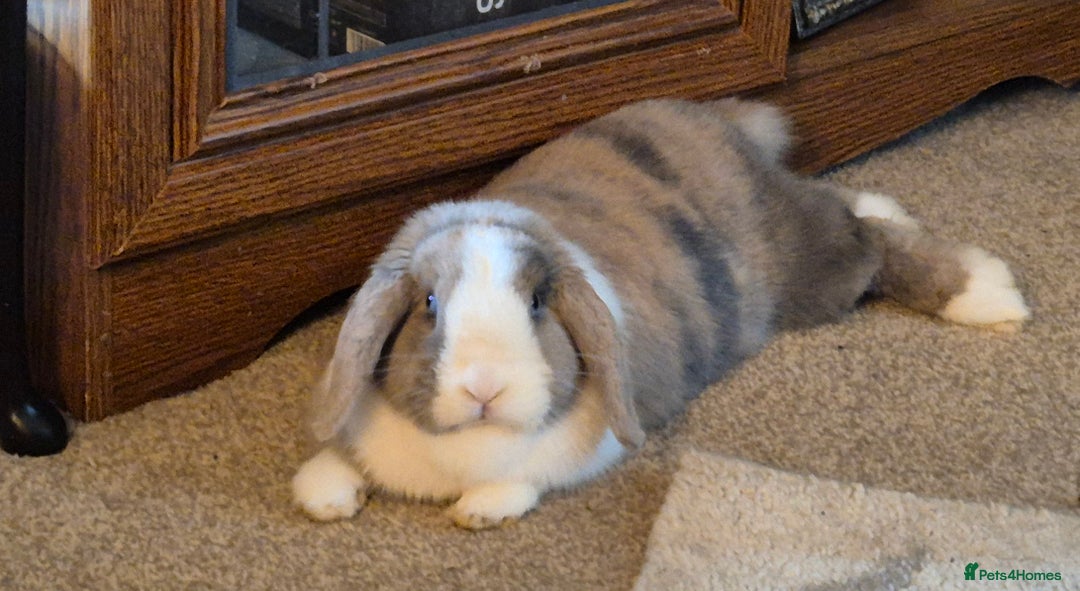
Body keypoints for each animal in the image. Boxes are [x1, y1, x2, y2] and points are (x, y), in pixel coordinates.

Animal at [291, 98, 1030, 529]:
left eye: (537, 302)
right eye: (429, 305)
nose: (484, 386)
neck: (460, 451)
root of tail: (713, 121)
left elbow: (518, 481)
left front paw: (482, 509)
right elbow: (332, 466)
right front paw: (325, 492)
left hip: (815, 271)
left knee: (873, 246)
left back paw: (992, 296)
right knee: (853, 208)